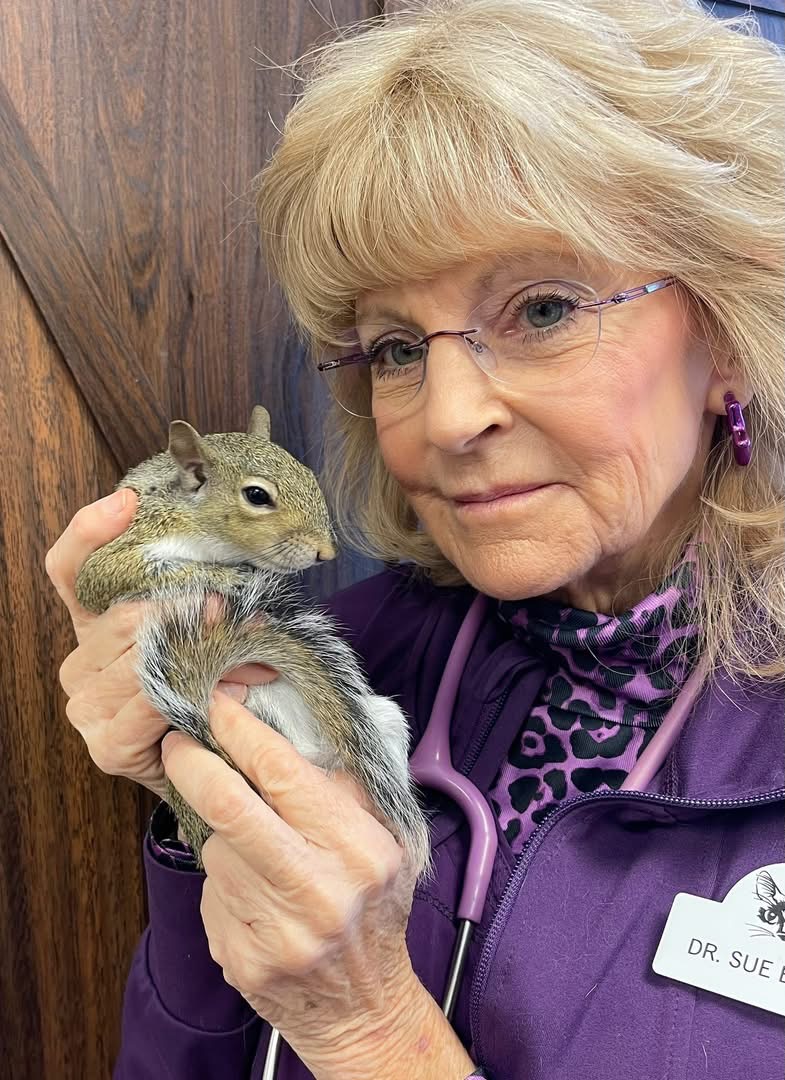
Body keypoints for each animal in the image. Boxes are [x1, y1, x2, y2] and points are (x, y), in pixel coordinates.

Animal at [74, 405, 432, 881]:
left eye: (308, 474)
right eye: (257, 496)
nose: (326, 553)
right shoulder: (116, 549)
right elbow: (112, 580)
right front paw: (228, 578)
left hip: (384, 720)